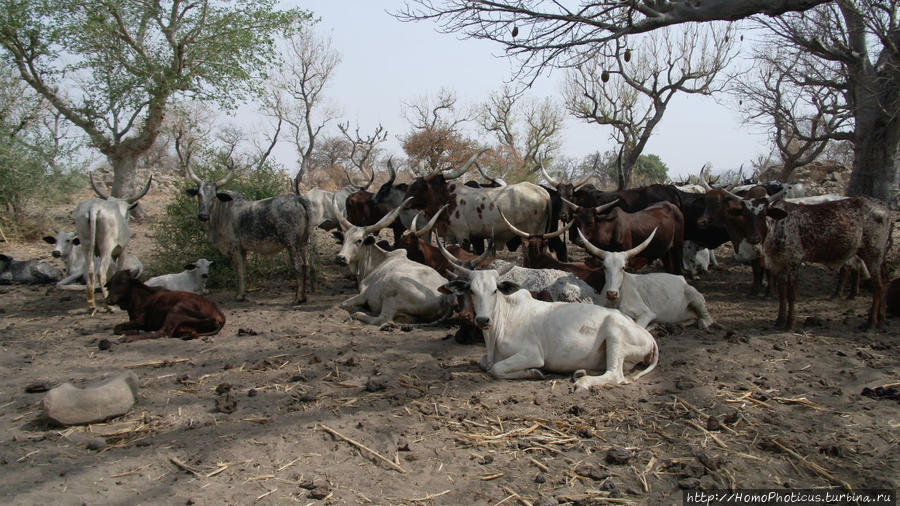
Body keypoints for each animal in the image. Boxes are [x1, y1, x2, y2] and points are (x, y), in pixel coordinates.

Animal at [74, 173, 151, 312]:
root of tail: (94, 208)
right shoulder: (122, 250)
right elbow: (117, 270)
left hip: (86, 246)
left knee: (90, 270)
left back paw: (91, 304)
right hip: (107, 247)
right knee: (100, 272)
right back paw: (108, 306)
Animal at [440, 258, 656, 390]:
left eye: (495, 290)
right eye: (471, 291)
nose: (483, 320)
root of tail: (648, 336)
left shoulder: (532, 354)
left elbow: (496, 369)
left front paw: (535, 372)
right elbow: (485, 363)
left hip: (614, 336)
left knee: (615, 374)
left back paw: (583, 382)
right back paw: (579, 372)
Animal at [576, 227, 716, 330]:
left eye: (623, 267)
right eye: (604, 267)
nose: (611, 293)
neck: (615, 302)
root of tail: (681, 278)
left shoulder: (646, 313)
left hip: (695, 296)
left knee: (706, 318)